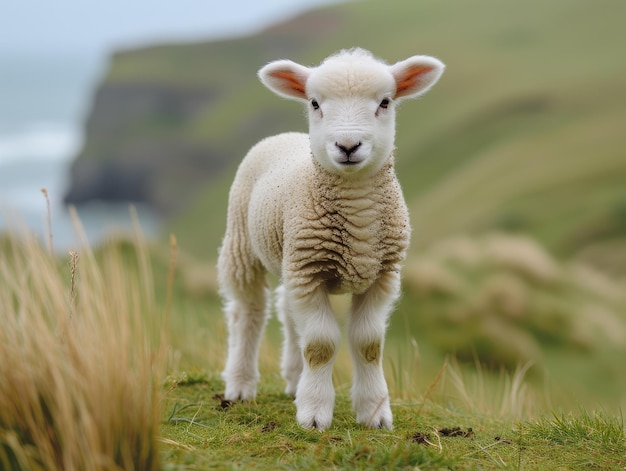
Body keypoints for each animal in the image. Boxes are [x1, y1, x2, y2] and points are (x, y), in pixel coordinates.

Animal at [217, 48, 442, 432]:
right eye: (315, 103)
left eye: (385, 102)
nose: (348, 145)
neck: (358, 215)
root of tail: (286, 135)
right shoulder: (310, 271)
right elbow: (321, 345)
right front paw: (314, 414)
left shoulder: (380, 276)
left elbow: (368, 344)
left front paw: (375, 413)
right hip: (242, 245)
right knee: (248, 313)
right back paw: (241, 384)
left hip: (291, 258)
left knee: (287, 311)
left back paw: (294, 380)